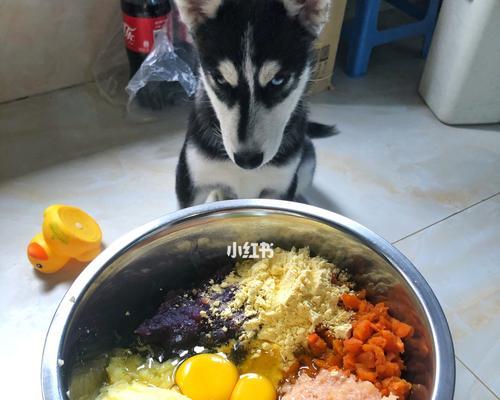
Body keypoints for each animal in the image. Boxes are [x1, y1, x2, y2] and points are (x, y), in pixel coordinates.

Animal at [175, 0, 336, 208]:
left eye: (278, 80)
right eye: (220, 80)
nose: (247, 160)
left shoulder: (280, 188)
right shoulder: (191, 181)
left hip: (308, 159)